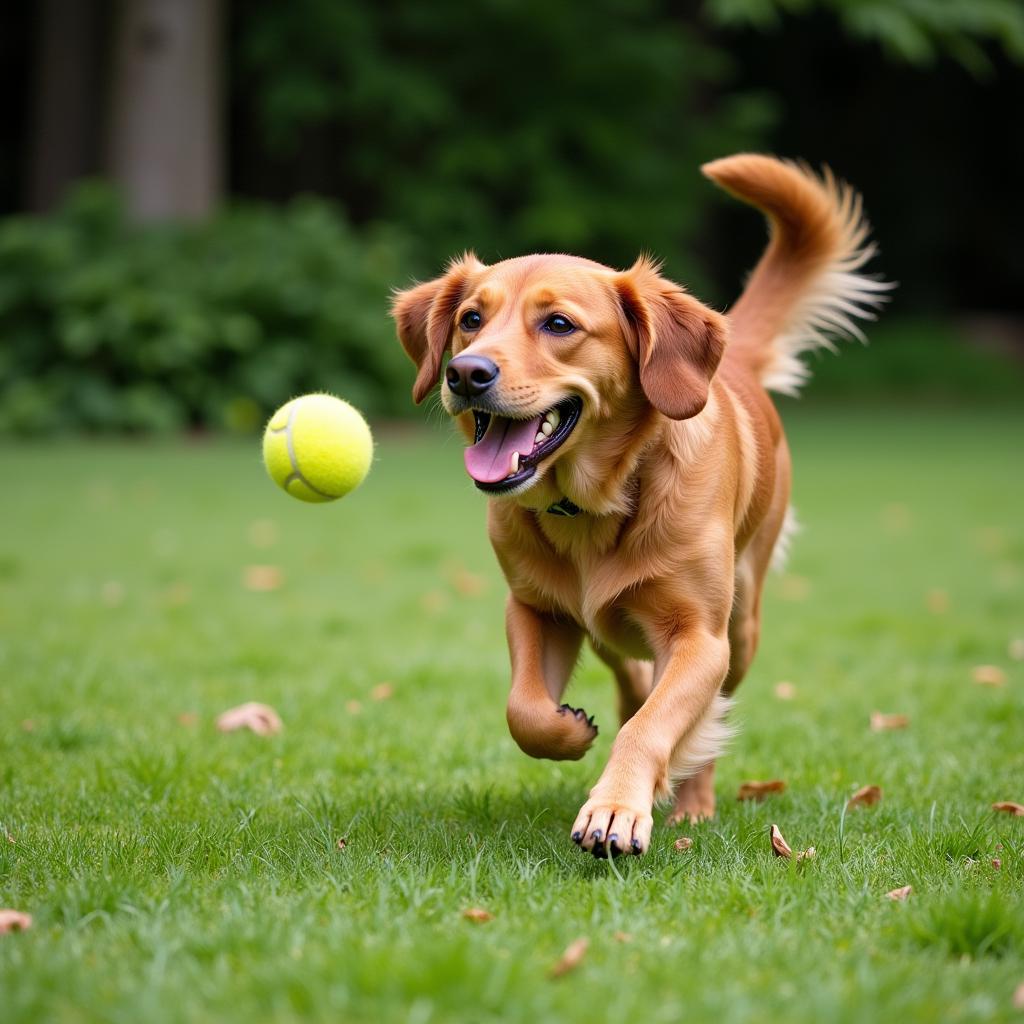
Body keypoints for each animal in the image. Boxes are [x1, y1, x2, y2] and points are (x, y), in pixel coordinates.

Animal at [391, 151, 888, 856]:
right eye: (470, 319)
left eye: (559, 324)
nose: (466, 373)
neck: (595, 505)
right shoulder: (535, 608)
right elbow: (524, 708)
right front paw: (569, 731)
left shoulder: (701, 639)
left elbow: (655, 727)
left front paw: (618, 809)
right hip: (608, 629)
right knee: (631, 680)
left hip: (742, 624)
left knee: (699, 723)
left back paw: (692, 804)